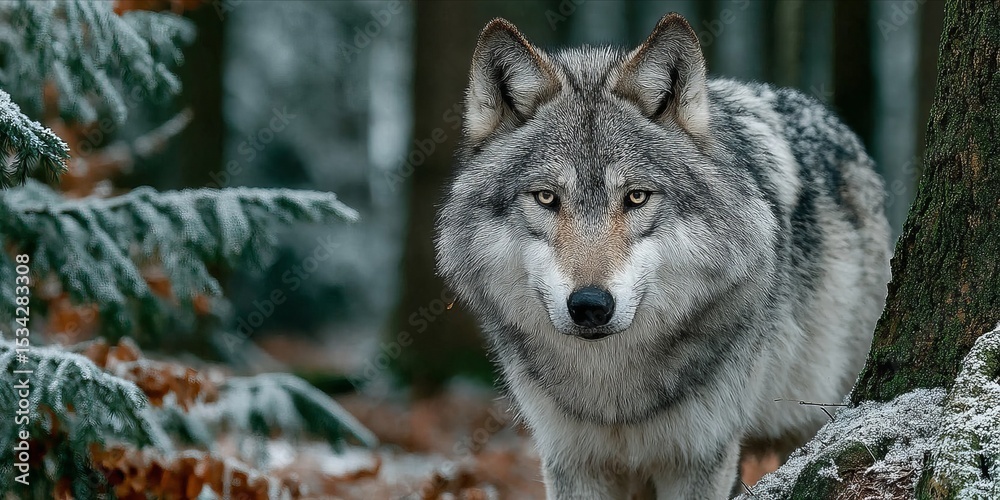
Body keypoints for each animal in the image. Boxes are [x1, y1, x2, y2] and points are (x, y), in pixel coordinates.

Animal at [435, 13, 890, 499]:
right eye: (546, 198)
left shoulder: (701, 457)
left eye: (636, 197)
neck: (611, 391)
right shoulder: (570, 460)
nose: (590, 305)